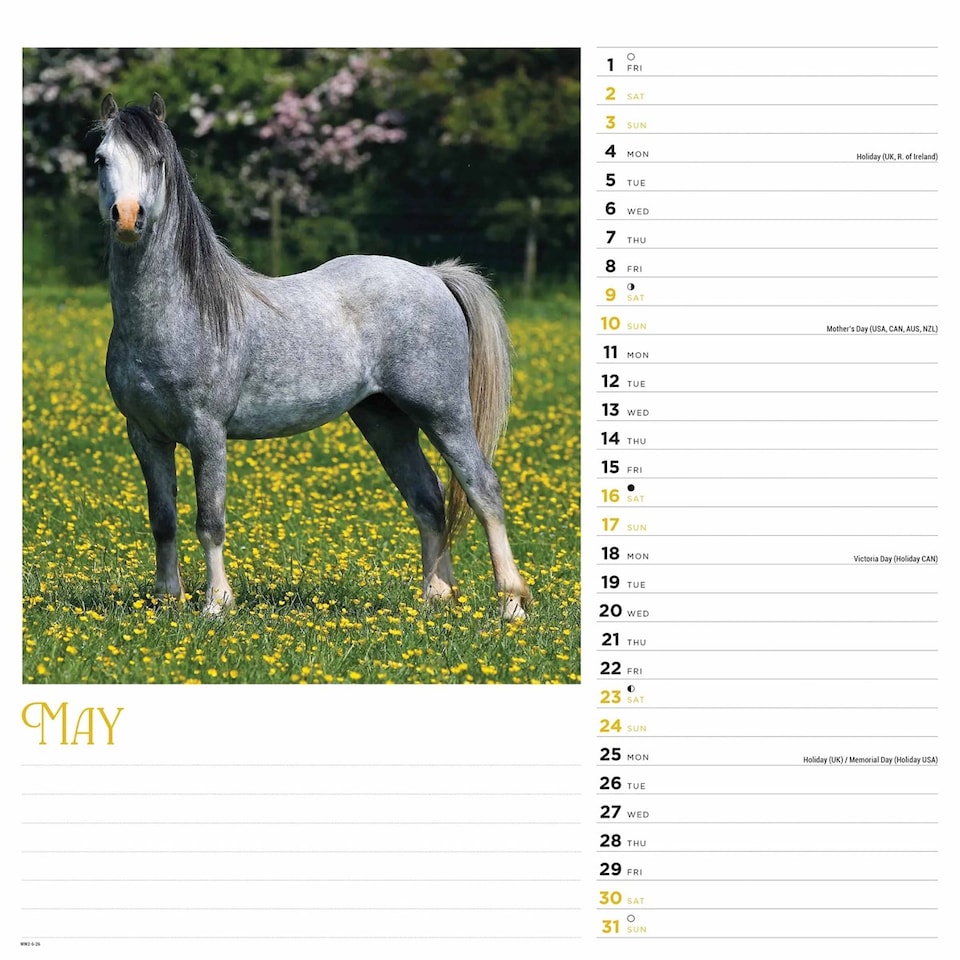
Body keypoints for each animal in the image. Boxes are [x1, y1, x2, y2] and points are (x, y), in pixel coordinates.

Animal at [94, 92, 531, 620]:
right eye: (101, 159)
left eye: (157, 161)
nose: (127, 217)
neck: (179, 313)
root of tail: (432, 275)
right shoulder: (145, 436)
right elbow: (163, 519)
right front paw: (166, 599)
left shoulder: (207, 432)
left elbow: (209, 519)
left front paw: (217, 604)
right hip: (384, 420)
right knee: (427, 497)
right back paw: (435, 596)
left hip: (443, 412)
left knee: (481, 488)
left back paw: (512, 603)